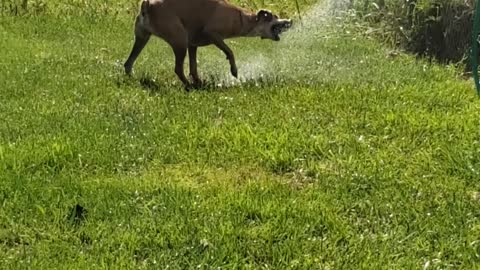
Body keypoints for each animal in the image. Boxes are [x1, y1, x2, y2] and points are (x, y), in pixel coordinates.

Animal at [123, 0, 292, 90]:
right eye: (274, 17)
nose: (290, 20)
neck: (242, 18)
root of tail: (147, 5)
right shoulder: (213, 34)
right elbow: (229, 51)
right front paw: (234, 70)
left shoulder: (192, 45)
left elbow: (193, 67)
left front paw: (199, 81)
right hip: (179, 41)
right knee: (178, 68)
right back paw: (188, 86)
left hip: (142, 38)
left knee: (128, 62)